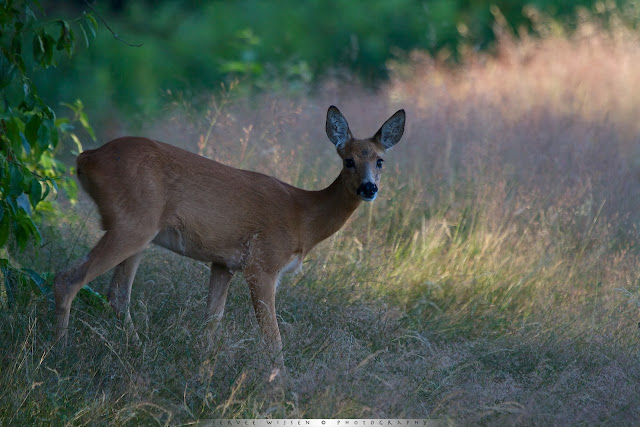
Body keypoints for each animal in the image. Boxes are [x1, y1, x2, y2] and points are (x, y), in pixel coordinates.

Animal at [53, 105, 404, 380]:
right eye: (348, 160)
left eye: (380, 161)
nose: (369, 188)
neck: (303, 218)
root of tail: (86, 158)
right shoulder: (262, 264)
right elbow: (272, 337)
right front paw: (282, 386)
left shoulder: (223, 263)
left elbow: (211, 321)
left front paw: (202, 369)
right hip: (132, 224)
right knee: (69, 277)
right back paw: (60, 353)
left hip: (139, 232)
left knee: (117, 295)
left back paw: (138, 352)